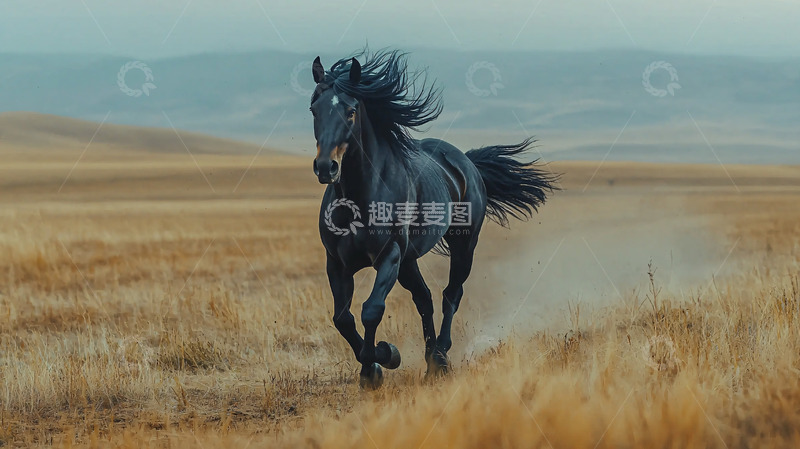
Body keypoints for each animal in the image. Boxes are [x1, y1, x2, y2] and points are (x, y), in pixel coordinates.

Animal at [309, 50, 558, 388]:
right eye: (314, 109)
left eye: (350, 111)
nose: (326, 167)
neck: (358, 200)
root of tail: (466, 162)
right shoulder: (336, 262)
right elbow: (342, 318)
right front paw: (372, 366)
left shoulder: (389, 255)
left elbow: (371, 310)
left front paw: (382, 358)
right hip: (409, 260)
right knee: (423, 299)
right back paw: (429, 361)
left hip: (462, 245)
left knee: (450, 294)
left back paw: (440, 357)